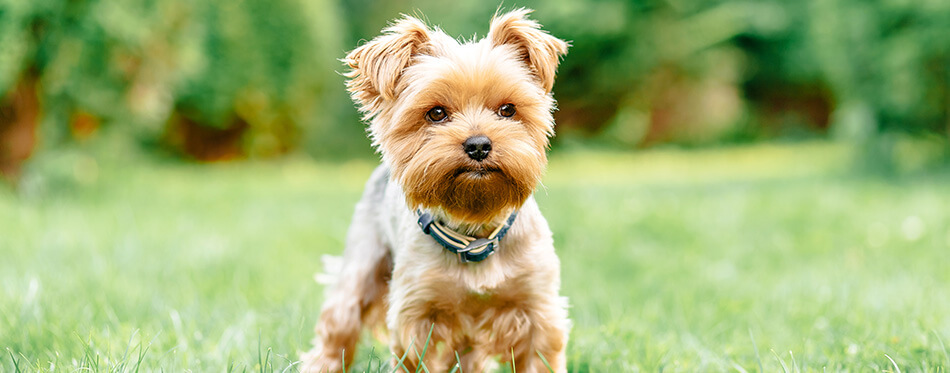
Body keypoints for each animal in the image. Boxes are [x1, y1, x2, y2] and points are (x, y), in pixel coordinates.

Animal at [302, 8, 568, 372]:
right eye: (437, 113)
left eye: (507, 109)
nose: (479, 145)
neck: (474, 232)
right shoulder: (416, 314)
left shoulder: (537, 310)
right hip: (360, 265)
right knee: (339, 324)